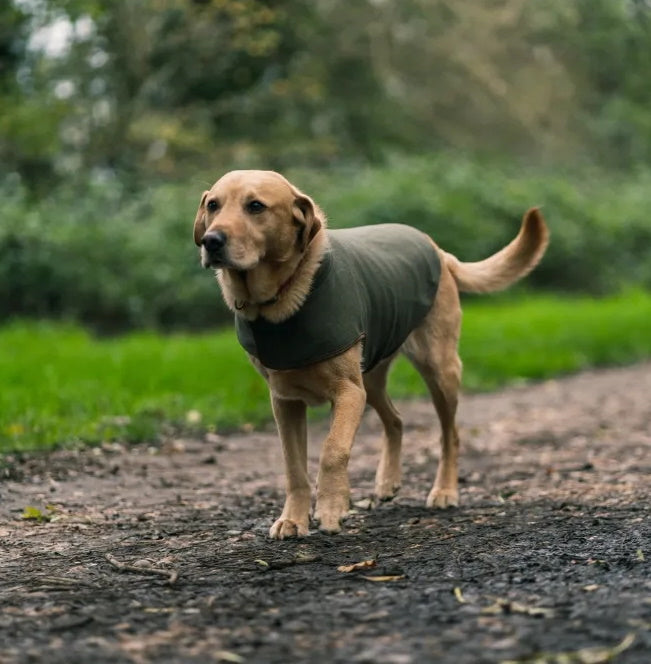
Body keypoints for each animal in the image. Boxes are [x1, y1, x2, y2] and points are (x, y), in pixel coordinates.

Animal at [194, 169, 552, 536]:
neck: (278, 302)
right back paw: (387, 481)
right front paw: (293, 518)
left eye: (255, 206)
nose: (211, 241)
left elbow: (333, 450)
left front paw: (332, 508)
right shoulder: (285, 401)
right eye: (213, 205)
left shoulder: (349, 393)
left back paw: (445, 490)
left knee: (449, 435)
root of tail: (437, 249)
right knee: (396, 420)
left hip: (439, 371)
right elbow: (294, 467)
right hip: (373, 378)